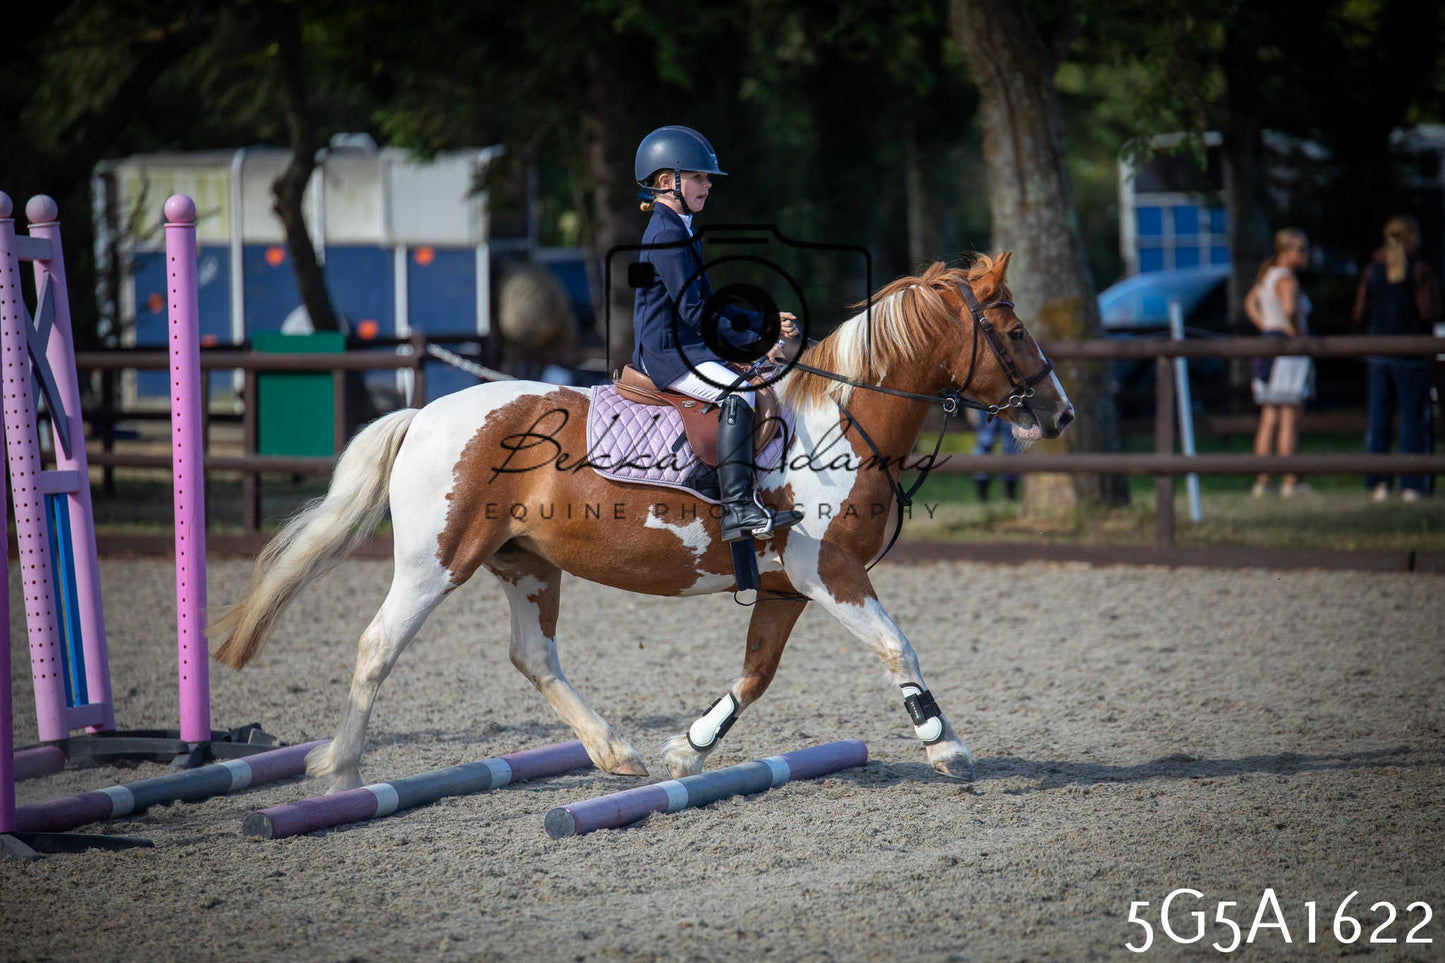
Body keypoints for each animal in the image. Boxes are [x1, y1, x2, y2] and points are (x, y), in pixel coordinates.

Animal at [211, 254, 1074, 792]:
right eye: (1015, 332)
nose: (1060, 413)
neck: (839, 419)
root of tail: (424, 413)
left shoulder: (787, 587)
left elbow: (755, 673)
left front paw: (686, 751)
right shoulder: (829, 572)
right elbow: (898, 645)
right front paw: (946, 746)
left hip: (527, 563)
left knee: (533, 656)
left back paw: (613, 752)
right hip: (434, 564)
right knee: (376, 647)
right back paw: (343, 773)